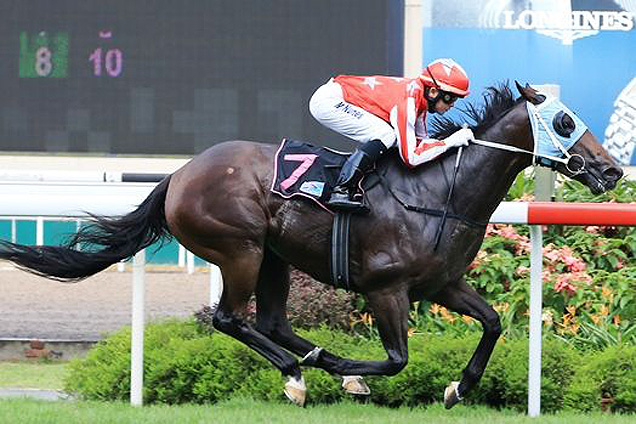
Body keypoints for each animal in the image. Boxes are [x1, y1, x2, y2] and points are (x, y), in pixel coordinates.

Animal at [0, 82, 620, 408]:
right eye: (565, 122)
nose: (612, 170)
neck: (438, 191)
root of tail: (178, 174)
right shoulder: (385, 288)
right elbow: (397, 359)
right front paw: (344, 367)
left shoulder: (441, 284)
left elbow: (492, 323)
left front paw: (456, 387)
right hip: (241, 249)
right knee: (228, 318)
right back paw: (299, 374)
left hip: (274, 256)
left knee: (270, 322)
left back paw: (310, 362)